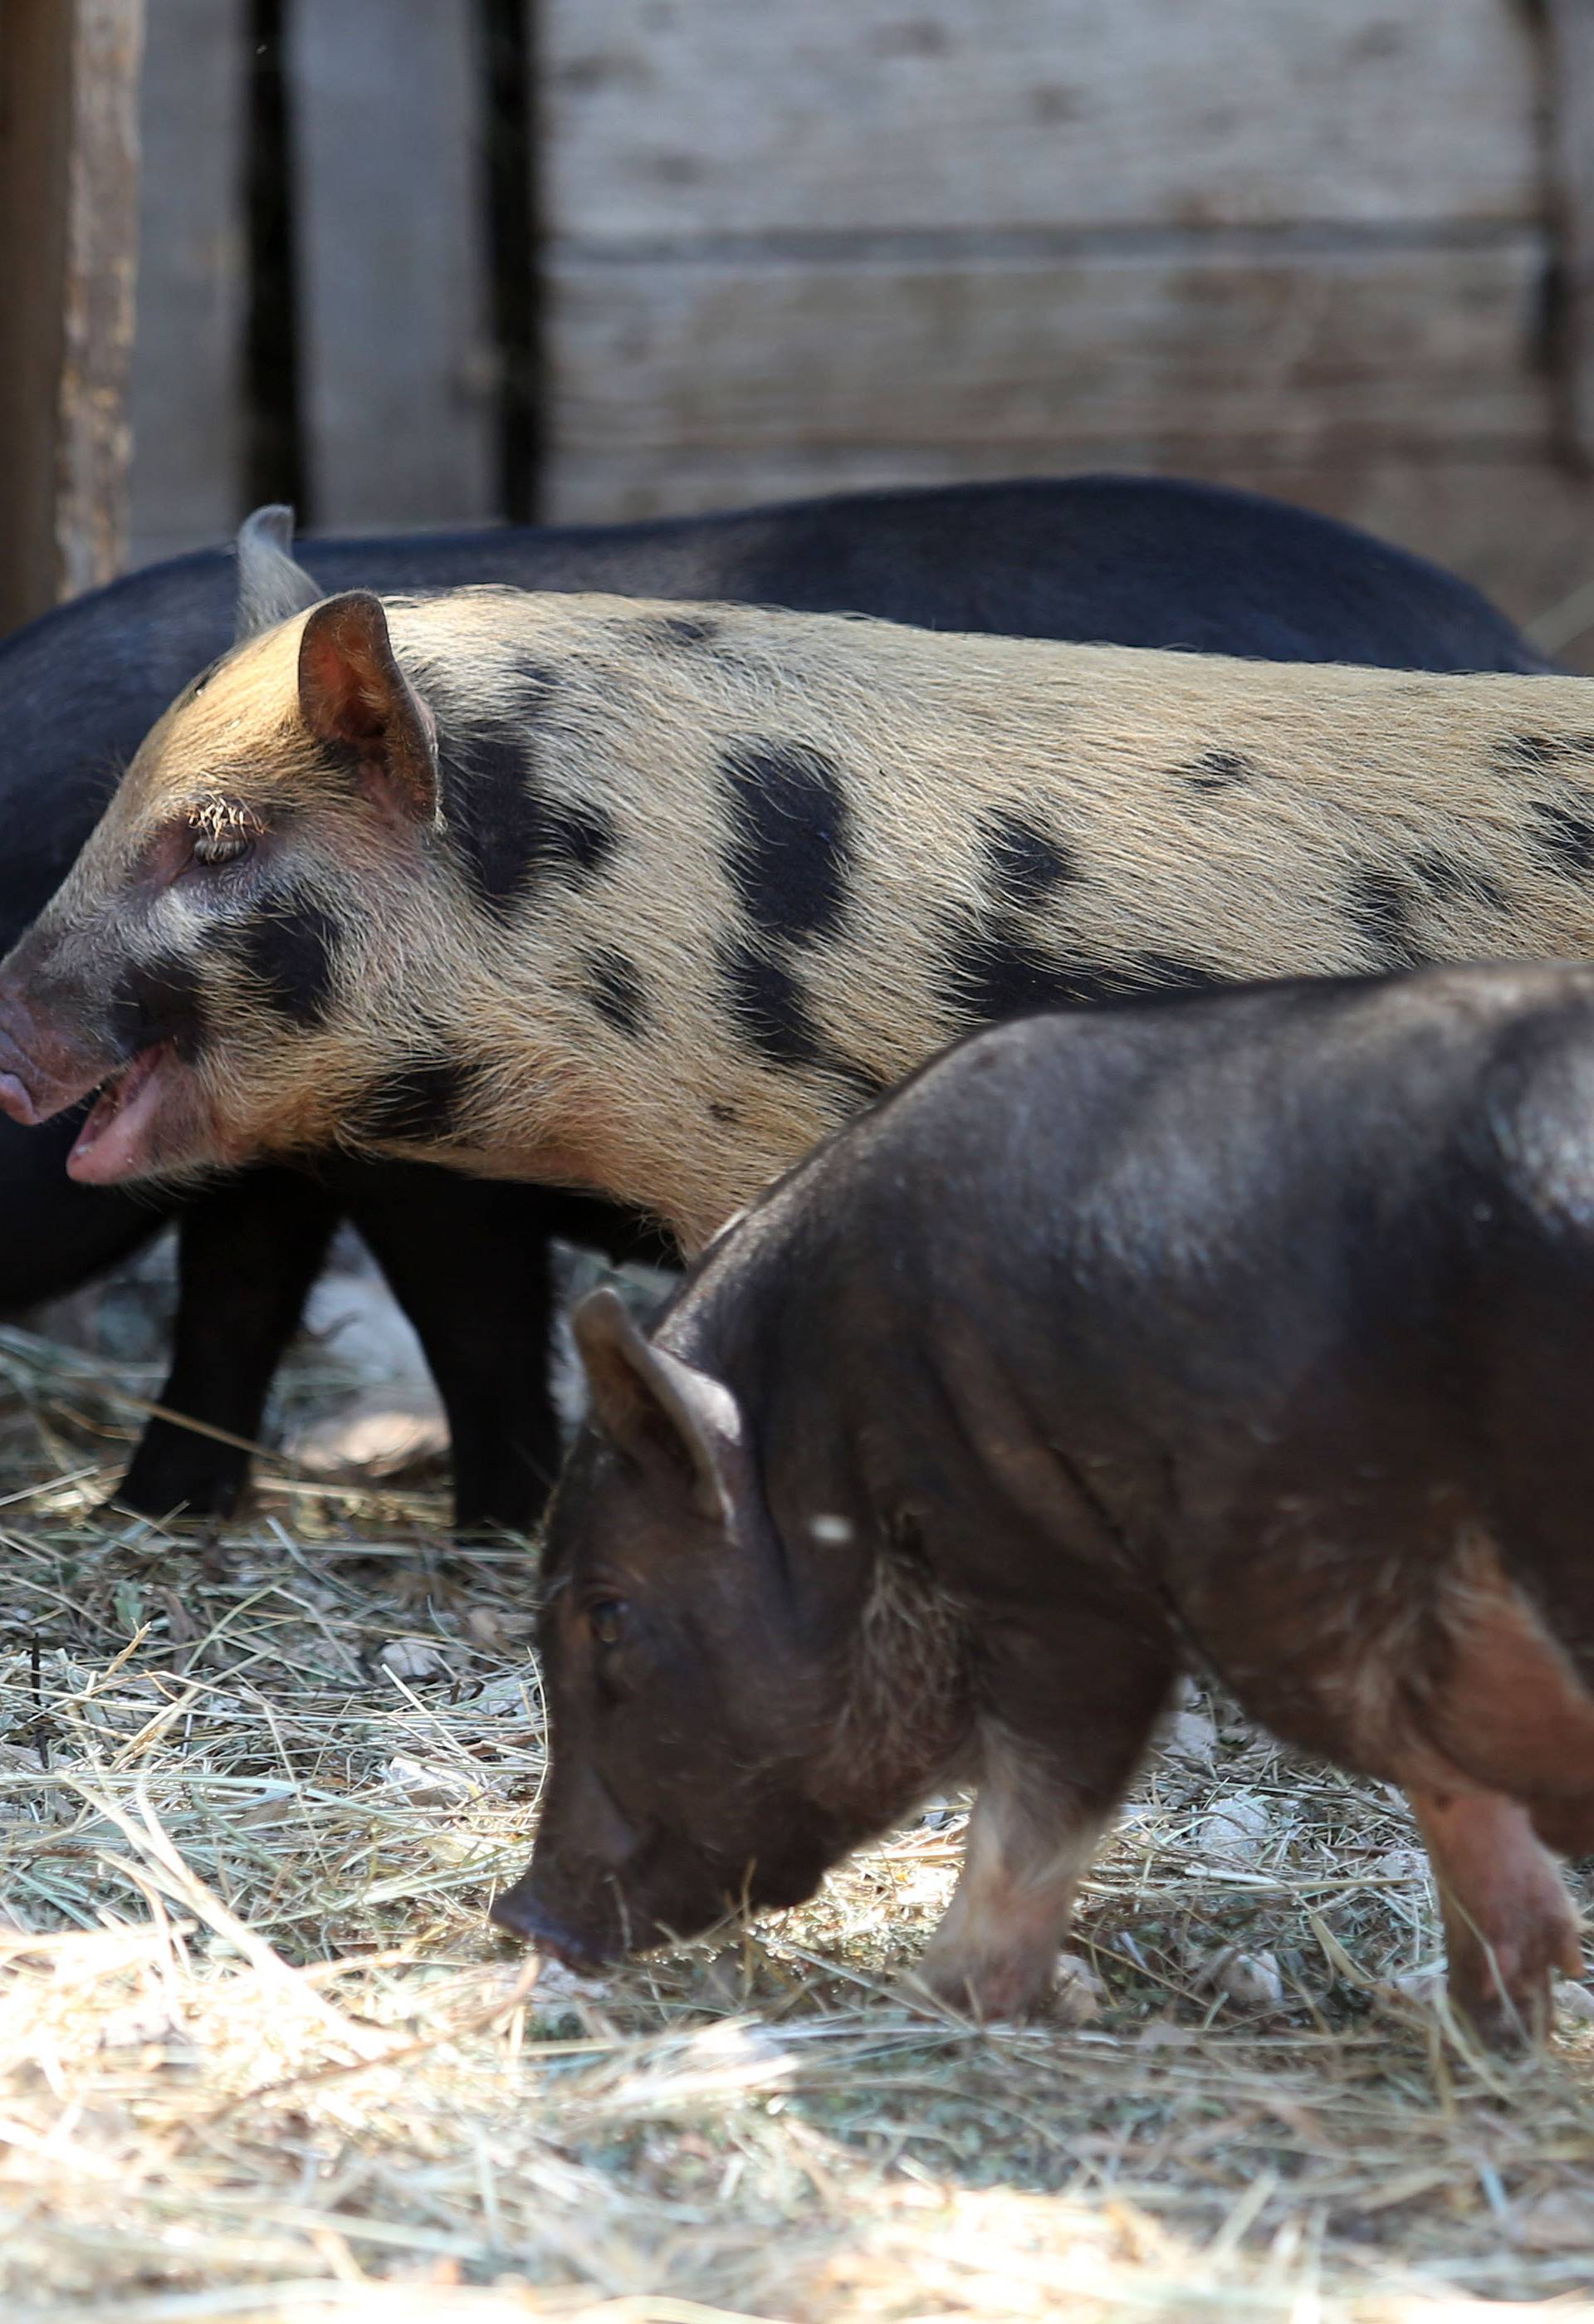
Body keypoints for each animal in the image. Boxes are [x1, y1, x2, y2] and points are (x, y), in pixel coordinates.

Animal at [506, 961, 1594, 2054]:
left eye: (608, 1614)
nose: (518, 1916)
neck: (826, 1454)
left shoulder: (1059, 1590)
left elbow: (1029, 1823)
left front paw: (929, 2007)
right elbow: (1454, 1796)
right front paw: (1485, 2031)